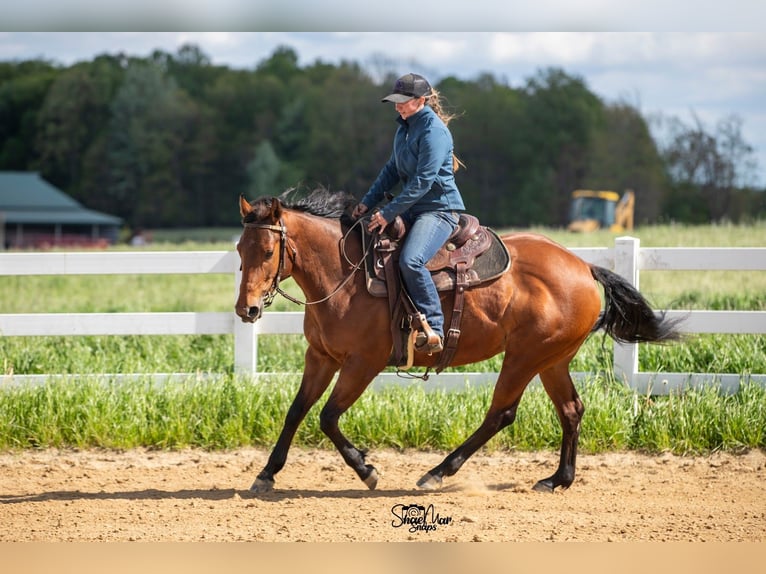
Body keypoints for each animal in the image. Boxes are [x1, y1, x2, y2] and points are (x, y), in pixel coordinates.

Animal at [235, 187, 682, 493]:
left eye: (269, 250)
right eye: (240, 248)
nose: (247, 309)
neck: (347, 274)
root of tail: (585, 267)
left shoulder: (363, 363)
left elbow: (327, 416)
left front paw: (367, 469)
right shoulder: (321, 356)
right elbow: (296, 411)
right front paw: (266, 474)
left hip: (524, 357)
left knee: (501, 413)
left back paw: (437, 472)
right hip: (552, 359)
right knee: (571, 410)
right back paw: (558, 479)